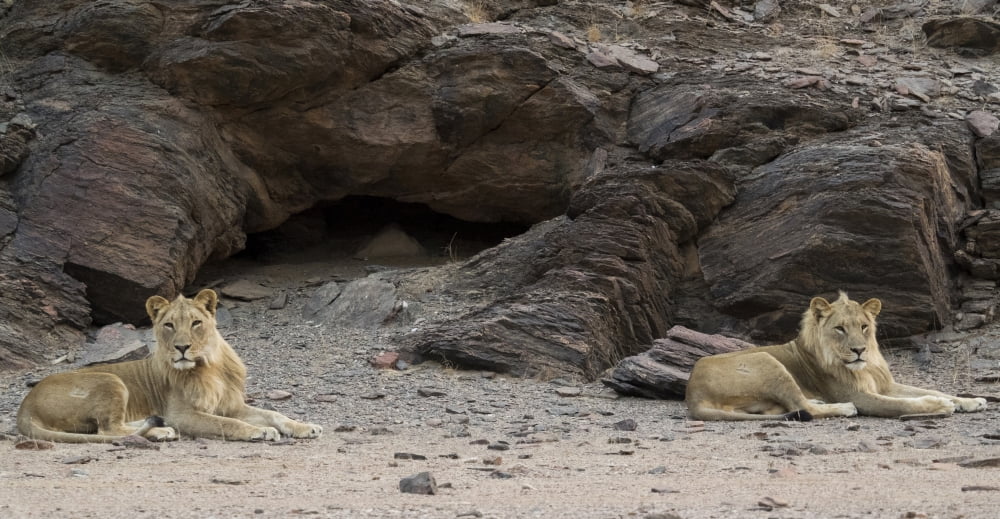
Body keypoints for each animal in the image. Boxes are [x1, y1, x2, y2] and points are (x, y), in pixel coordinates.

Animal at [17, 289, 323, 442]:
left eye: (196, 323)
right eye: (169, 325)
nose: (182, 347)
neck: (209, 366)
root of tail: (25, 407)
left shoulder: (232, 404)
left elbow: (274, 414)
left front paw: (305, 426)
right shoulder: (183, 414)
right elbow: (226, 423)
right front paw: (258, 431)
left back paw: (156, 424)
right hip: (109, 380)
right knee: (107, 430)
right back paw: (161, 431)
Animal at [685, 292, 988, 421]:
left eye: (864, 327)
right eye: (840, 328)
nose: (859, 350)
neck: (866, 366)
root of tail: (692, 393)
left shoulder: (885, 385)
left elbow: (932, 389)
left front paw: (970, 401)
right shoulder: (861, 395)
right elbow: (901, 404)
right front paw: (939, 406)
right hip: (767, 361)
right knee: (804, 409)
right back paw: (841, 409)